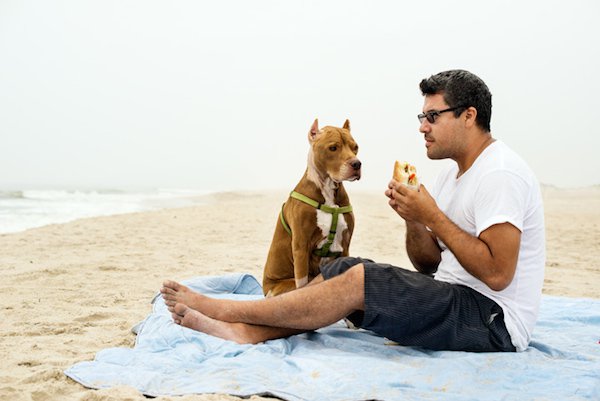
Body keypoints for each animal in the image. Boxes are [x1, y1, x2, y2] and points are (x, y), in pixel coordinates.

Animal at [262, 117, 360, 296]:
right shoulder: (301, 247)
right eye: (333, 148)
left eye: (355, 147)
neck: (327, 190)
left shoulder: (345, 245)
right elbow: (302, 284)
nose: (357, 164)